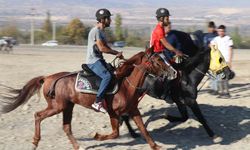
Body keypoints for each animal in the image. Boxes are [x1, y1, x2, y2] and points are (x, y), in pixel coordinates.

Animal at [0, 49, 170, 149]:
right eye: (158, 60)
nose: (172, 72)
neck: (125, 85)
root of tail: (48, 77)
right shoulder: (113, 113)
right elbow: (115, 133)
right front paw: (97, 136)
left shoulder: (133, 110)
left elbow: (143, 129)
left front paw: (155, 146)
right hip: (57, 106)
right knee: (38, 115)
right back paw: (35, 142)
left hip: (68, 106)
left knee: (66, 127)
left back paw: (77, 146)